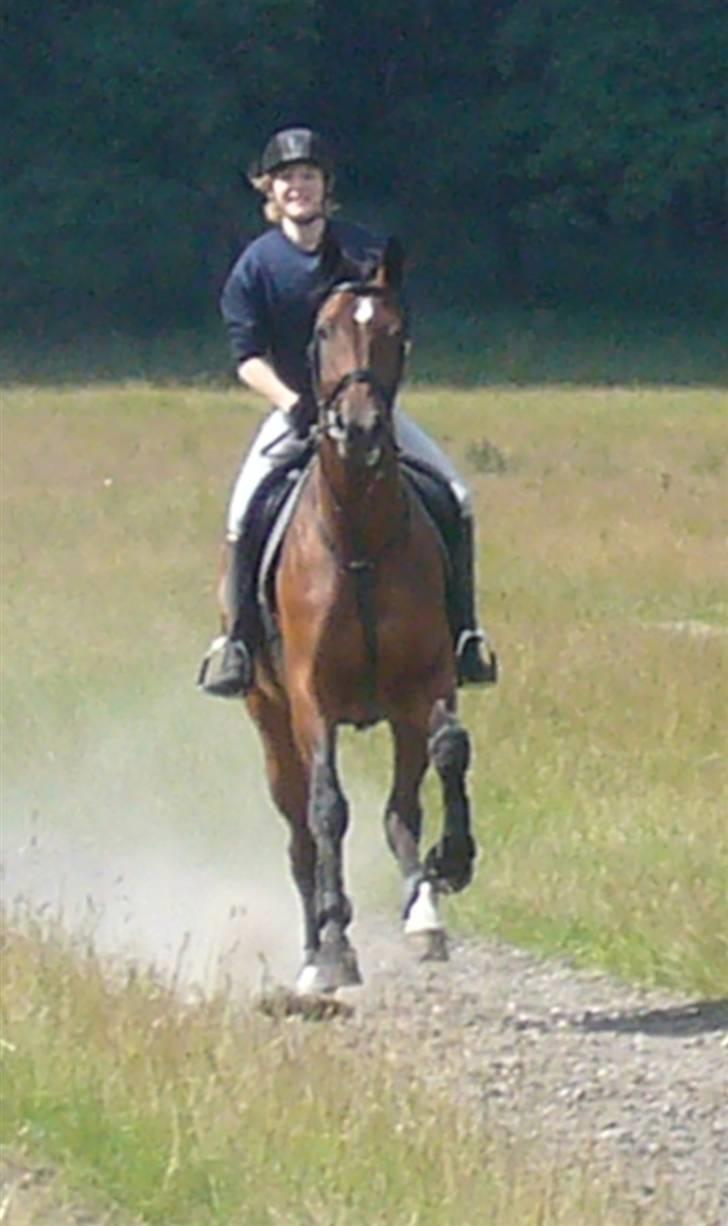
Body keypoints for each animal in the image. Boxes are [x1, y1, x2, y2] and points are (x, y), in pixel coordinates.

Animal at [234, 234, 475, 990]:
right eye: (322, 333)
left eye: (396, 332)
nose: (361, 428)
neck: (360, 536)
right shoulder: (310, 697)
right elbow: (327, 810)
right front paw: (337, 947)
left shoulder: (428, 679)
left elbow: (449, 752)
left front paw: (452, 865)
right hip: (271, 723)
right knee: (299, 837)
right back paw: (316, 954)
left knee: (401, 807)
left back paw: (422, 912)